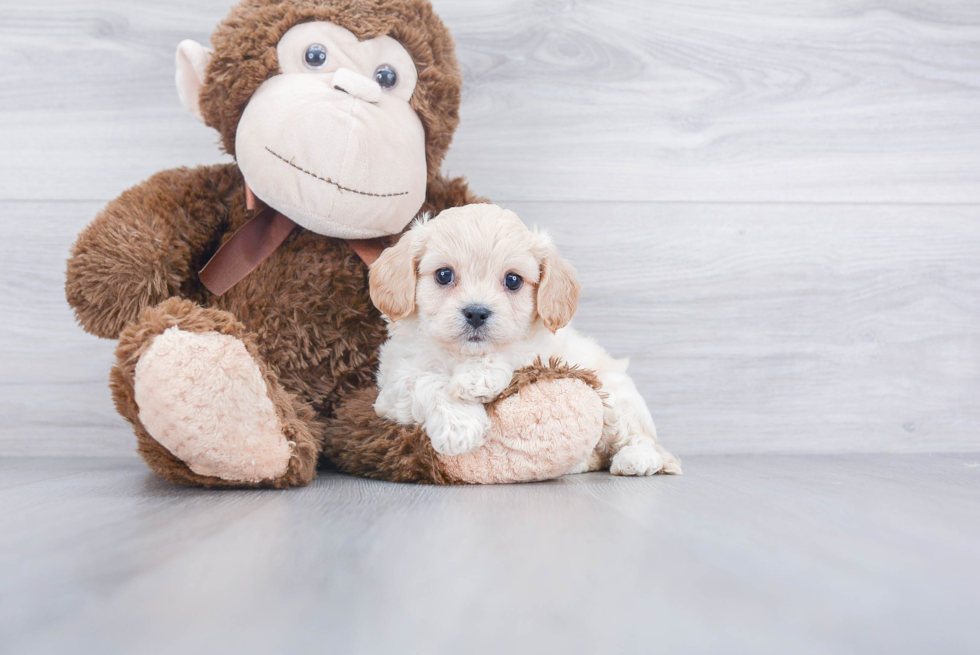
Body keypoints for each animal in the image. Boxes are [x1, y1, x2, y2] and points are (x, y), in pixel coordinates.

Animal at [368, 204, 680, 476]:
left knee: (641, 439)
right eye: (444, 275)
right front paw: (460, 425)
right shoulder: (391, 386)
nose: (477, 312)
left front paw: (476, 378)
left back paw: (636, 459)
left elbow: (509, 353)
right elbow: (423, 380)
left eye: (513, 280)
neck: (462, 354)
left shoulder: (539, 353)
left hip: (617, 396)